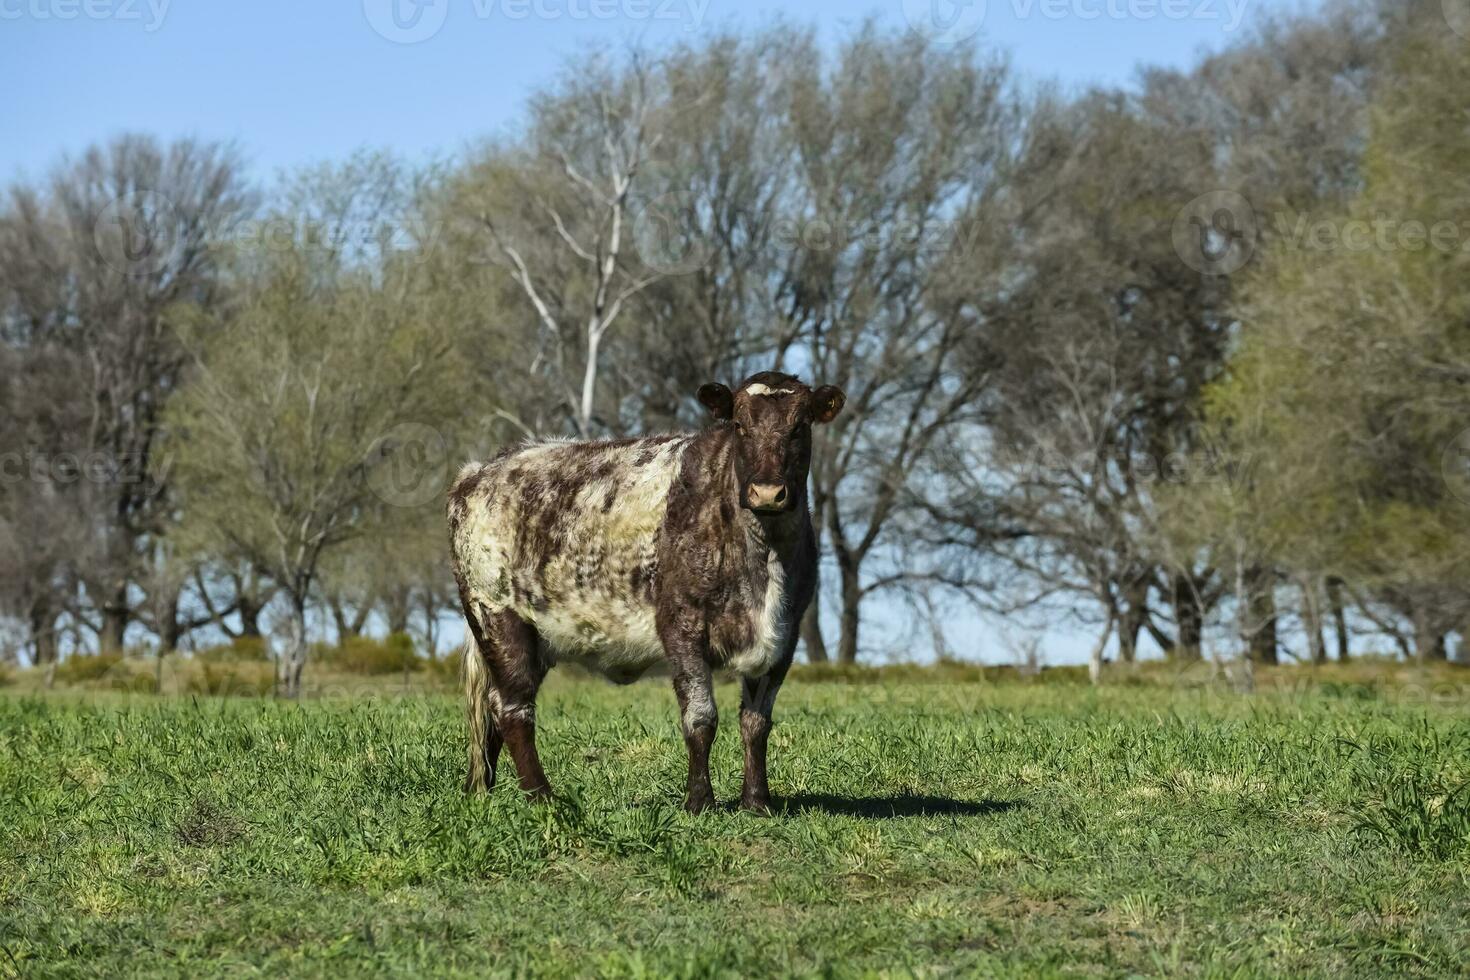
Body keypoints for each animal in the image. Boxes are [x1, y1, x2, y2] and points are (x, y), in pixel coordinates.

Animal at [441, 370, 846, 811]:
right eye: (740, 424)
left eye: (800, 426)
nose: (768, 493)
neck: (764, 560)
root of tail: (479, 471)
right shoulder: (682, 626)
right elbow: (701, 717)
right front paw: (699, 801)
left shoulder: (784, 638)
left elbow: (755, 723)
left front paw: (757, 802)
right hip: (497, 617)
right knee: (513, 708)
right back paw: (542, 796)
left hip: (532, 636)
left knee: (495, 708)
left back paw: (486, 790)